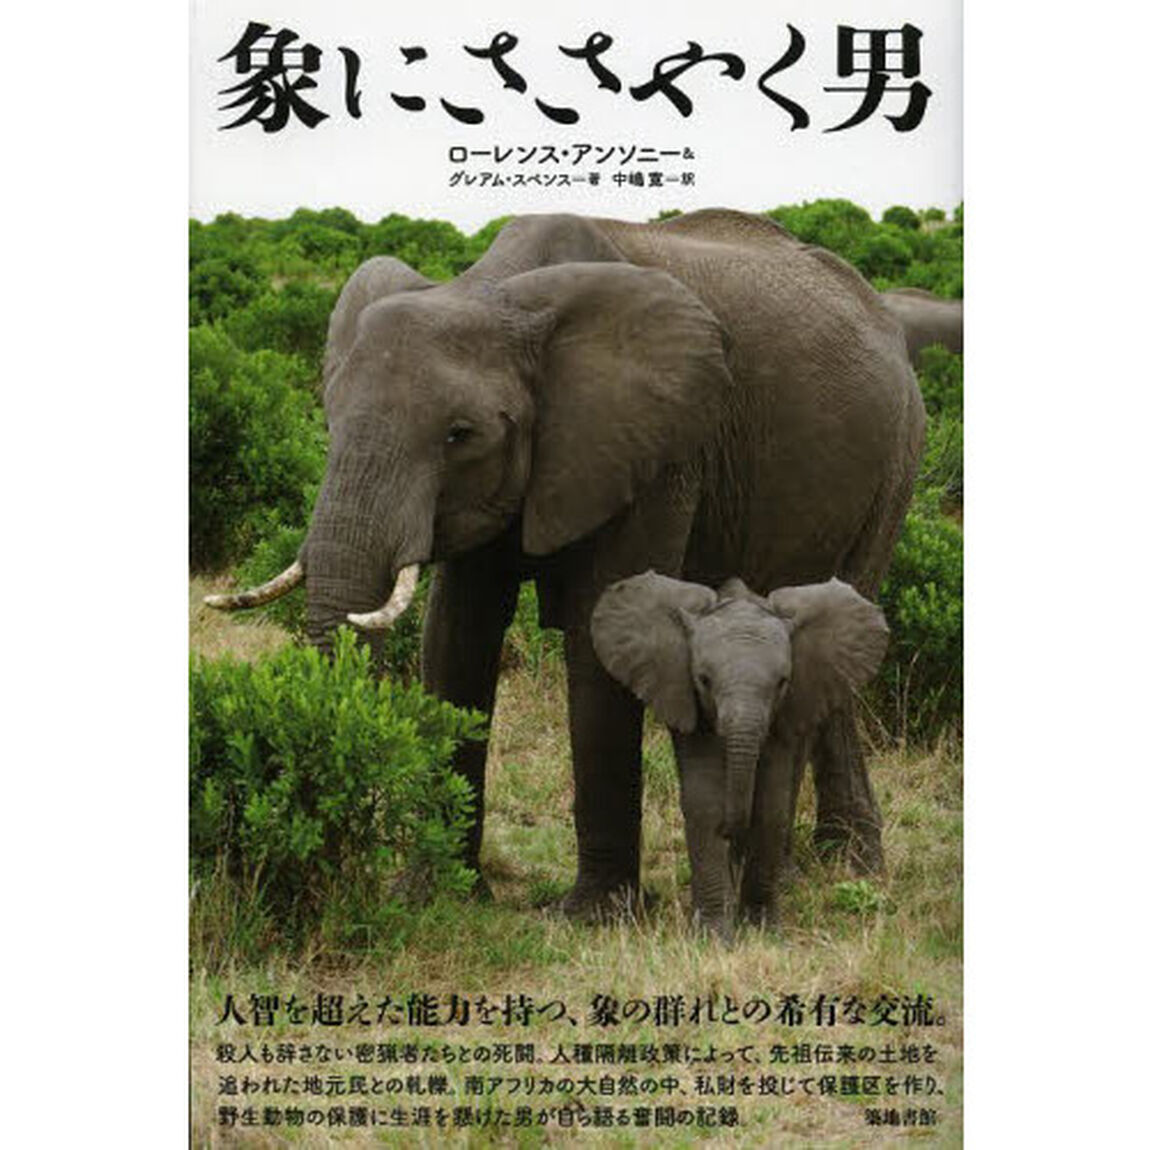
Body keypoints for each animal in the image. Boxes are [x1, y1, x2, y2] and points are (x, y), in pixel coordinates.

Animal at [591, 571, 889, 940]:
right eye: (704, 680)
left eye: (782, 682)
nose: (731, 830)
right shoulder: (690, 704)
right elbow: (704, 802)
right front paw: (713, 938)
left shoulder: (787, 710)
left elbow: (770, 808)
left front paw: (764, 933)